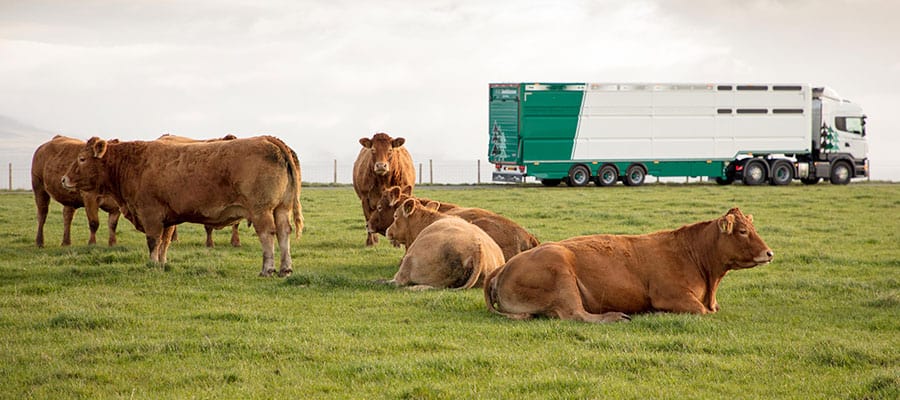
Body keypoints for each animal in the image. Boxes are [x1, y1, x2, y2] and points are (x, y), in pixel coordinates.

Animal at [62, 136, 306, 276]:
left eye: (82, 159)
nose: (64, 179)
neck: (133, 164)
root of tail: (270, 140)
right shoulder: (167, 218)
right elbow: (165, 242)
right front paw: (161, 264)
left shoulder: (150, 214)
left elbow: (153, 241)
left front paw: (152, 265)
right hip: (281, 208)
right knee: (283, 233)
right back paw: (285, 269)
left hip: (260, 210)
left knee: (268, 235)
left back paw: (268, 269)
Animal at [486, 208, 772, 324]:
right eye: (743, 231)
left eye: (753, 228)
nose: (769, 253)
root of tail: (503, 267)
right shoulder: (671, 295)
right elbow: (701, 311)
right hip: (561, 274)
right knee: (576, 315)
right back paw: (615, 317)